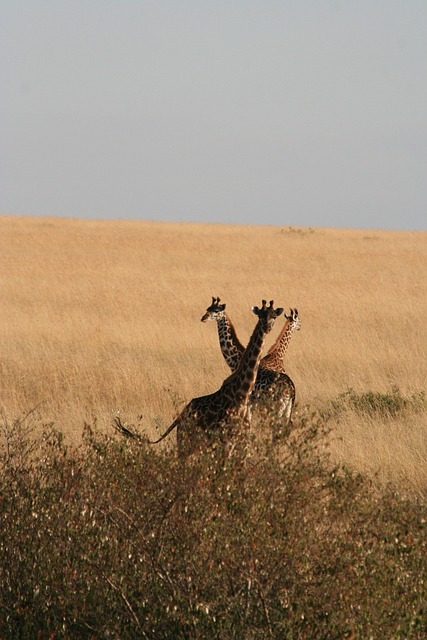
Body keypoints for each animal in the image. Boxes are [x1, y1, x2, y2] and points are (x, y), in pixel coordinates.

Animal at [115, 302, 286, 458]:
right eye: (260, 316)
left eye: (274, 316)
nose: (267, 328)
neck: (243, 392)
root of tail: (180, 417)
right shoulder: (227, 439)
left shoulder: (238, 439)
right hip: (186, 441)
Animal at [201, 296, 300, 430]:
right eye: (208, 308)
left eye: (216, 311)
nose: (203, 318)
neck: (236, 359)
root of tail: (291, 388)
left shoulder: (248, 403)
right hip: (285, 409)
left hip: (277, 407)